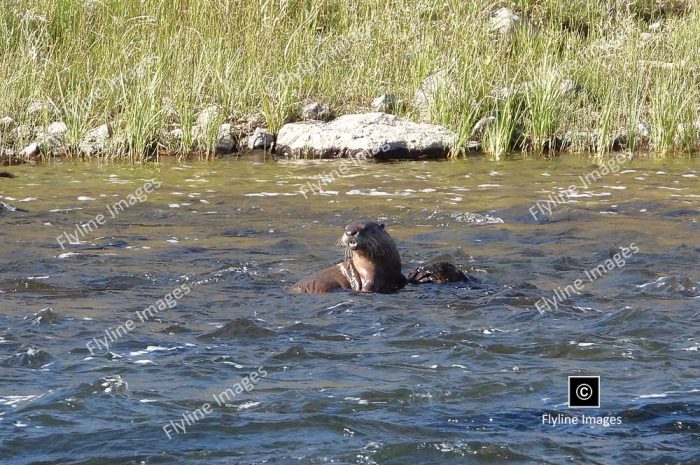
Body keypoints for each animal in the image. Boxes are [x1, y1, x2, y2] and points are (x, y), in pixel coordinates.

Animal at [292, 219, 468, 292]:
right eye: (345, 228)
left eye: (363, 228)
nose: (350, 232)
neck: (384, 266)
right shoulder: (368, 279)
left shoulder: (397, 275)